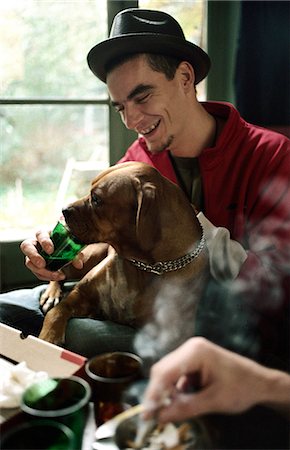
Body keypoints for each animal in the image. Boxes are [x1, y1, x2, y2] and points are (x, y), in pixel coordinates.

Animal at [38, 162, 208, 344]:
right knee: (58, 272)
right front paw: (48, 336)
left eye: (96, 199)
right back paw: (52, 293)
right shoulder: (80, 294)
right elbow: (56, 311)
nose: (63, 210)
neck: (142, 266)